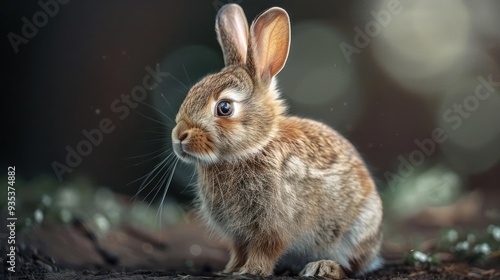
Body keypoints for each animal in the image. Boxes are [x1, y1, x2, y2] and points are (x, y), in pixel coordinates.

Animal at [171, 3, 382, 278]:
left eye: (224, 108)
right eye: (192, 91)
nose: (179, 136)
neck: (254, 148)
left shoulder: (273, 225)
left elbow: (266, 248)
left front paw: (251, 271)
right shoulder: (238, 235)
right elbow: (239, 249)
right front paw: (230, 269)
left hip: (354, 231)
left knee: (352, 266)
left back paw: (323, 267)